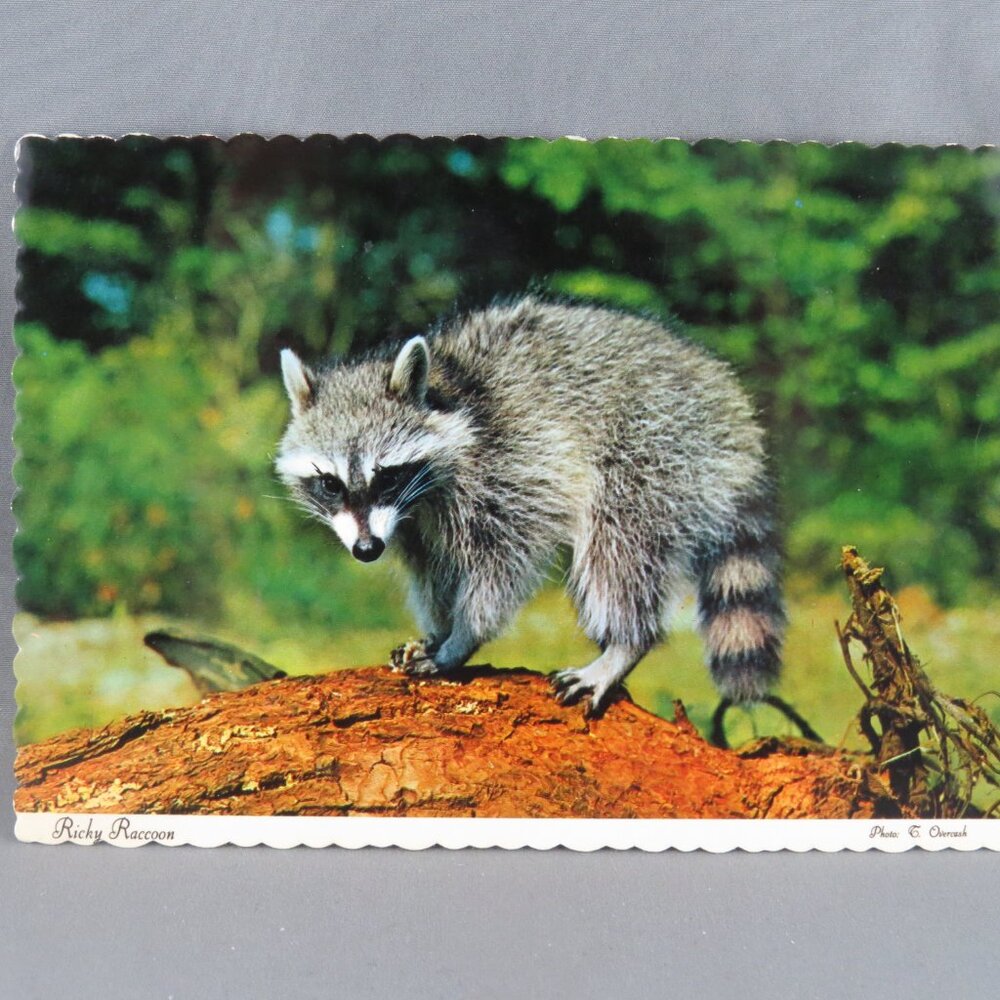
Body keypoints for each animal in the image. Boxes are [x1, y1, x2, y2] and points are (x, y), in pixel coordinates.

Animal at [276, 296, 784, 716]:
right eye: (330, 484)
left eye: (387, 475)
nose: (365, 550)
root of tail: (726, 397)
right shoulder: (408, 523)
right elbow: (431, 569)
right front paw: (439, 627)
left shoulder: (507, 469)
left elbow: (502, 564)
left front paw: (462, 637)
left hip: (654, 446)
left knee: (616, 548)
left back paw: (625, 643)